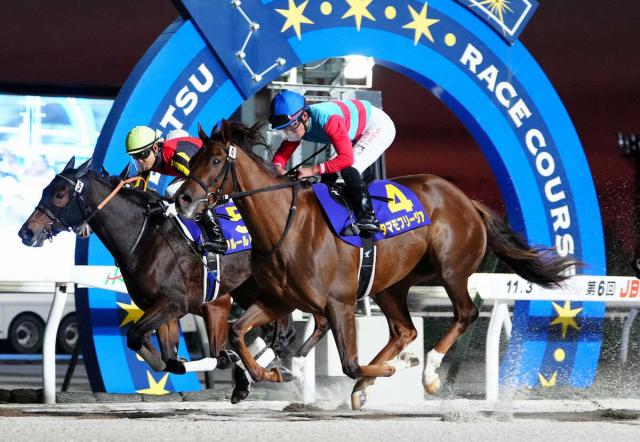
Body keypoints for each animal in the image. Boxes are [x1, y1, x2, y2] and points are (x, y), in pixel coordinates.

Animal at [17, 157, 320, 402]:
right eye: (45, 190)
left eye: (59, 194)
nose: (26, 232)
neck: (144, 236)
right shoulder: (165, 307)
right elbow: (168, 357)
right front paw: (184, 364)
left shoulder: (176, 302)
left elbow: (138, 337)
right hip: (254, 291)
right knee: (278, 334)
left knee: (281, 335)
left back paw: (275, 371)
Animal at [175, 120, 579, 409]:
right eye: (191, 161)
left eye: (214, 161)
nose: (184, 199)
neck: (284, 224)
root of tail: (466, 200)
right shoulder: (280, 299)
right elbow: (238, 332)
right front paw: (271, 374)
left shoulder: (338, 303)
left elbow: (349, 362)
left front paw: (396, 368)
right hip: (390, 285)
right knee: (404, 331)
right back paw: (371, 382)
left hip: (452, 271)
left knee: (464, 314)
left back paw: (427, 371)